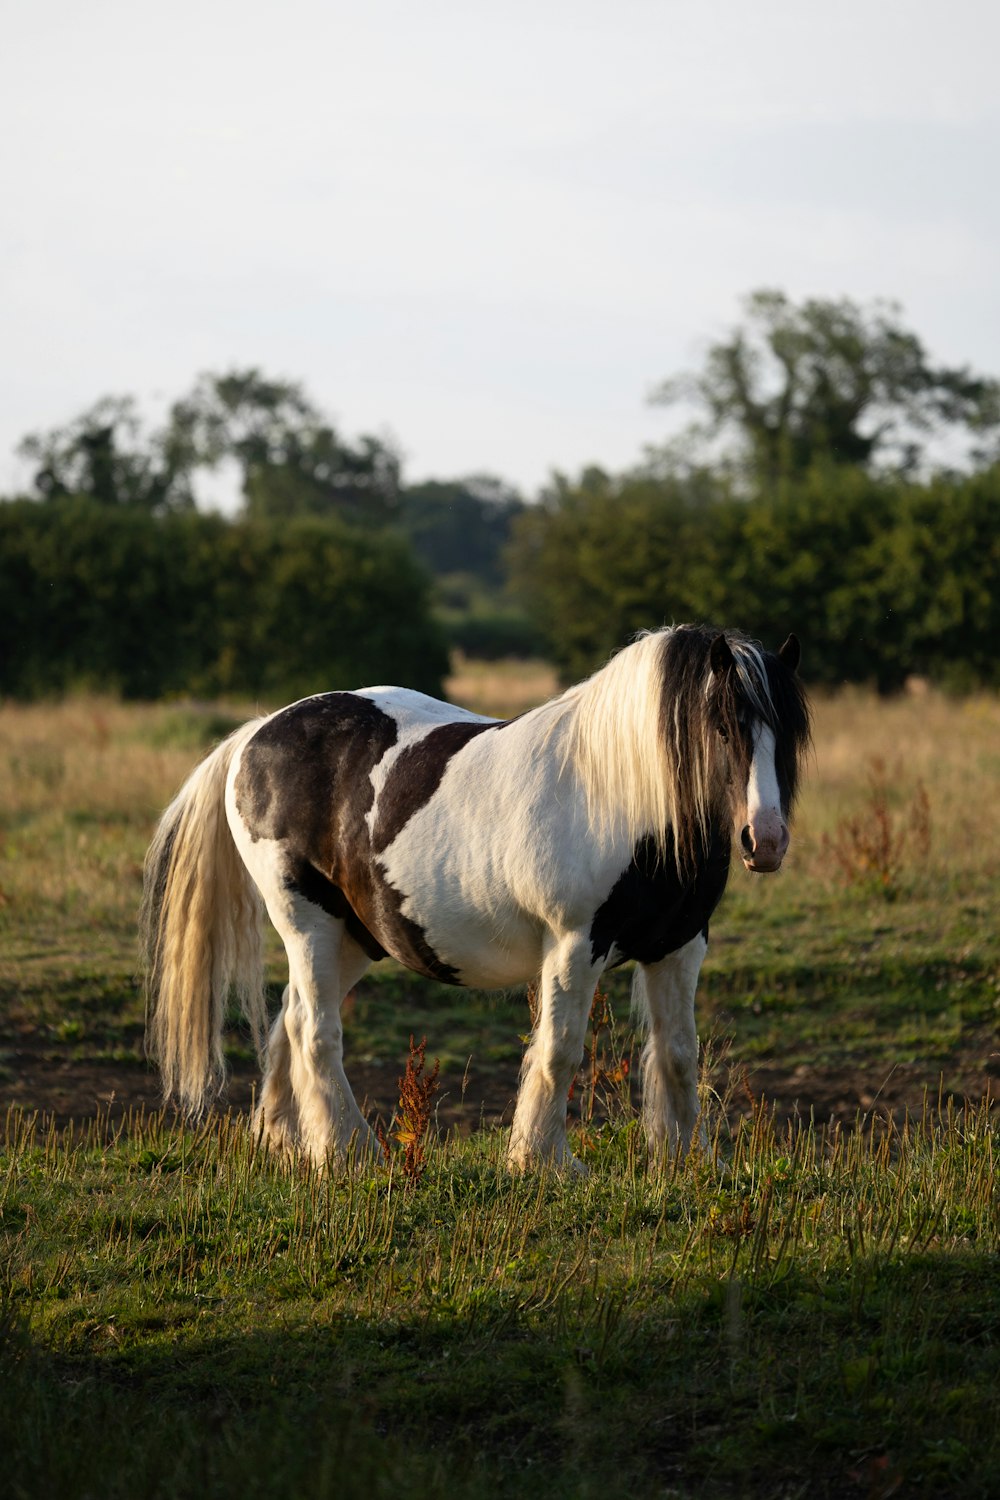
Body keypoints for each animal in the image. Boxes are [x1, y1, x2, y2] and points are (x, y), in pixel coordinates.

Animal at [140, 621, 809, 1170]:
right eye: (721, 725)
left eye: (790, 734)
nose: (765, 840)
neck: (622, 797)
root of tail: (258, 735)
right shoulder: (575, 945)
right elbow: (559, 1051)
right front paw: (542, 1163)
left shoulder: (679, 947)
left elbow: (678, 1054)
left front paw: (693, 1162)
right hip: (307, 922)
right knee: (315, 1031)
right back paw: (351, 1154)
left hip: (357, 938)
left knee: (291, 1016)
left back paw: (281, 1141)